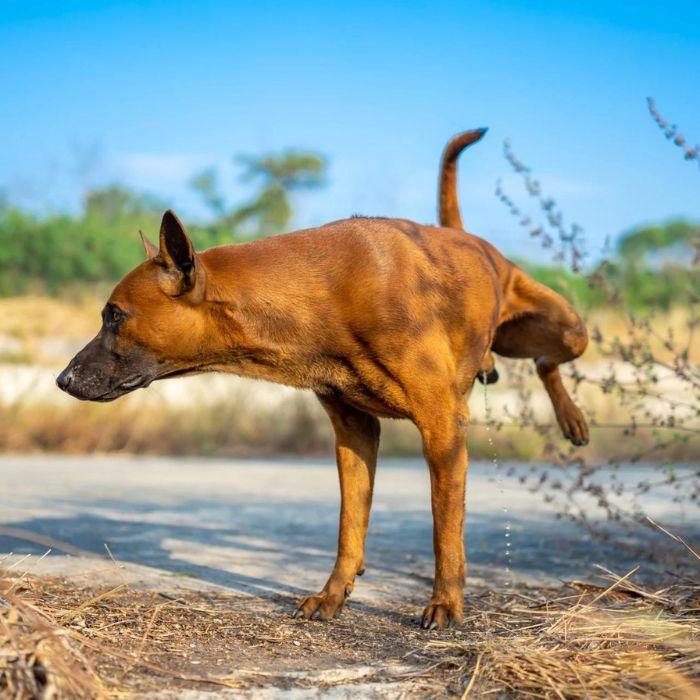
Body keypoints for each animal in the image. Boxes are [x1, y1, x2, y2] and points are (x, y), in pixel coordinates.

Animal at [57, 129, 588, 632]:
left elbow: (445, 528)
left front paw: (446, 603)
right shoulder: (355, 433)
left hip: (570, 330)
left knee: (547, 361)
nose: (63, 380)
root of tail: (476, 242)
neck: (325, 295)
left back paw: (572, 418)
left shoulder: (442, 429)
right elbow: (349, 525)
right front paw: (334, 594)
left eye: (115, 316)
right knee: (543, 362)